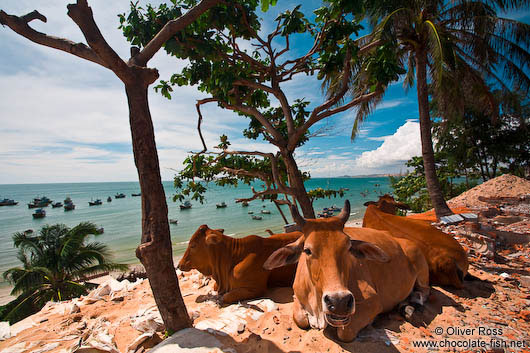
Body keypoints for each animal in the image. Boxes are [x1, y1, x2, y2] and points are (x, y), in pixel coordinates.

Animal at [262, 201, 426, 340]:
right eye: (307, 250)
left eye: (349, 248)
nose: (339, 302)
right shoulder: (296, 296)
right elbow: (300, 319)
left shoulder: (373, 301)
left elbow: (345, 332)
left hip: (417, 256)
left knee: (423, 293)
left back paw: (409, 308)